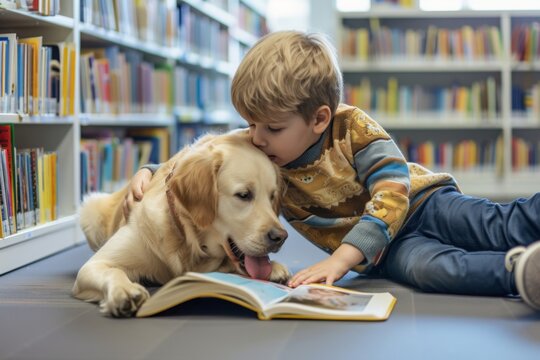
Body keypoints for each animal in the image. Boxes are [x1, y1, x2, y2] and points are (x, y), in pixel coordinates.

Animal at [73, 131, 292, 316]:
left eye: (272, 197)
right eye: (244, 195)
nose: (280, 237)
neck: (185, 236)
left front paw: (274, 268)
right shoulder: (93, 265)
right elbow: (113, 270)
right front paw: (125, 290)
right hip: (91, 209)